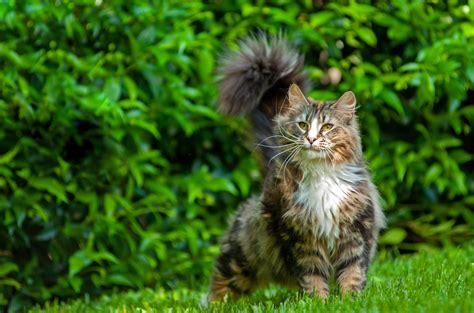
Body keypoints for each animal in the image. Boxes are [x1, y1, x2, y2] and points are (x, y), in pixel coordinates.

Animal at [204, 35, 386, 304]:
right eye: (302, 125)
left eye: (327, 127)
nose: (310, 139)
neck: (321, 178)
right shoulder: (301, 238)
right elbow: (312, 276)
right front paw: (320, 303)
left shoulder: (356, 232)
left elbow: (352, 273)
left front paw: (349, 301)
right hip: (244, 253)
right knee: (223, 277)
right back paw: (213, 303)